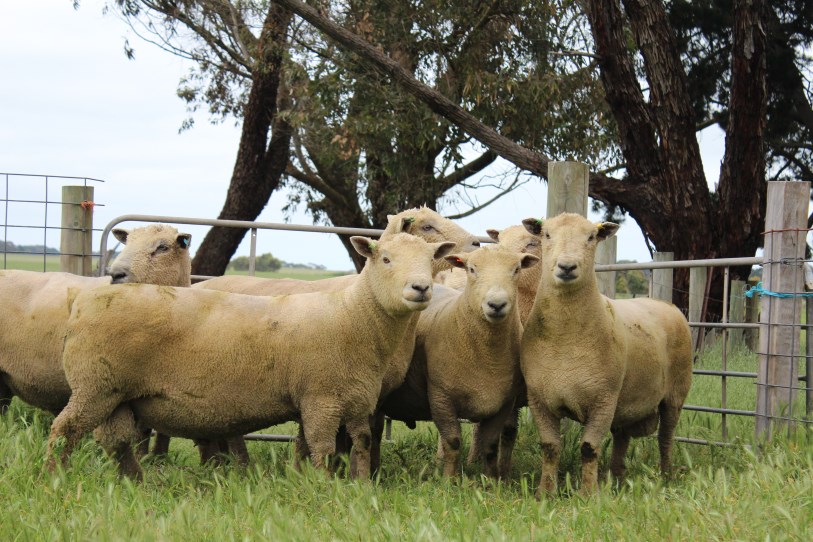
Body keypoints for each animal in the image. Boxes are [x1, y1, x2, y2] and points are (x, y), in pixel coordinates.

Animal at [46, 234, 456, 480]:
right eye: (385, 259)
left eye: (431, 261)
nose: (420, 288)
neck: (355, 315)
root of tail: (83, 300)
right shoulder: (320, 397)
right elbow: (323, 447)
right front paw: (326, 487)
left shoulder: (357, 399)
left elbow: (362, 442)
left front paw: (359, 486)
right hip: (96, 386)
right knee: (64, 430)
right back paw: (54, 476)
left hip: (117, 395)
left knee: (114, 441)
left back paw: (136, 482)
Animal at [380, 246, 540, 480]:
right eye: (472, 269)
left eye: (516, 269)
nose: (496, 304)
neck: (488, 358)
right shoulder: (441, 397)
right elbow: (452, 441)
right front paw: (449, 479)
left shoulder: (504, 404)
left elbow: (490, 445)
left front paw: (492, 481)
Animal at [520, 214, 692, 498]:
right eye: (546, 235)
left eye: (591, 237)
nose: (567, 266)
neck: (565, 337)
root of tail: (665, 304)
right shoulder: (540, 400)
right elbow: (550, 447)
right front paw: (545, 492)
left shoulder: (603, 399)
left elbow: (589, 447)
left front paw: (588, 494)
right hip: (626, 398)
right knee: (622, 435)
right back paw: (617, 477)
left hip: (675, 392)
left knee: (665, 437)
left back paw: (666, 474)